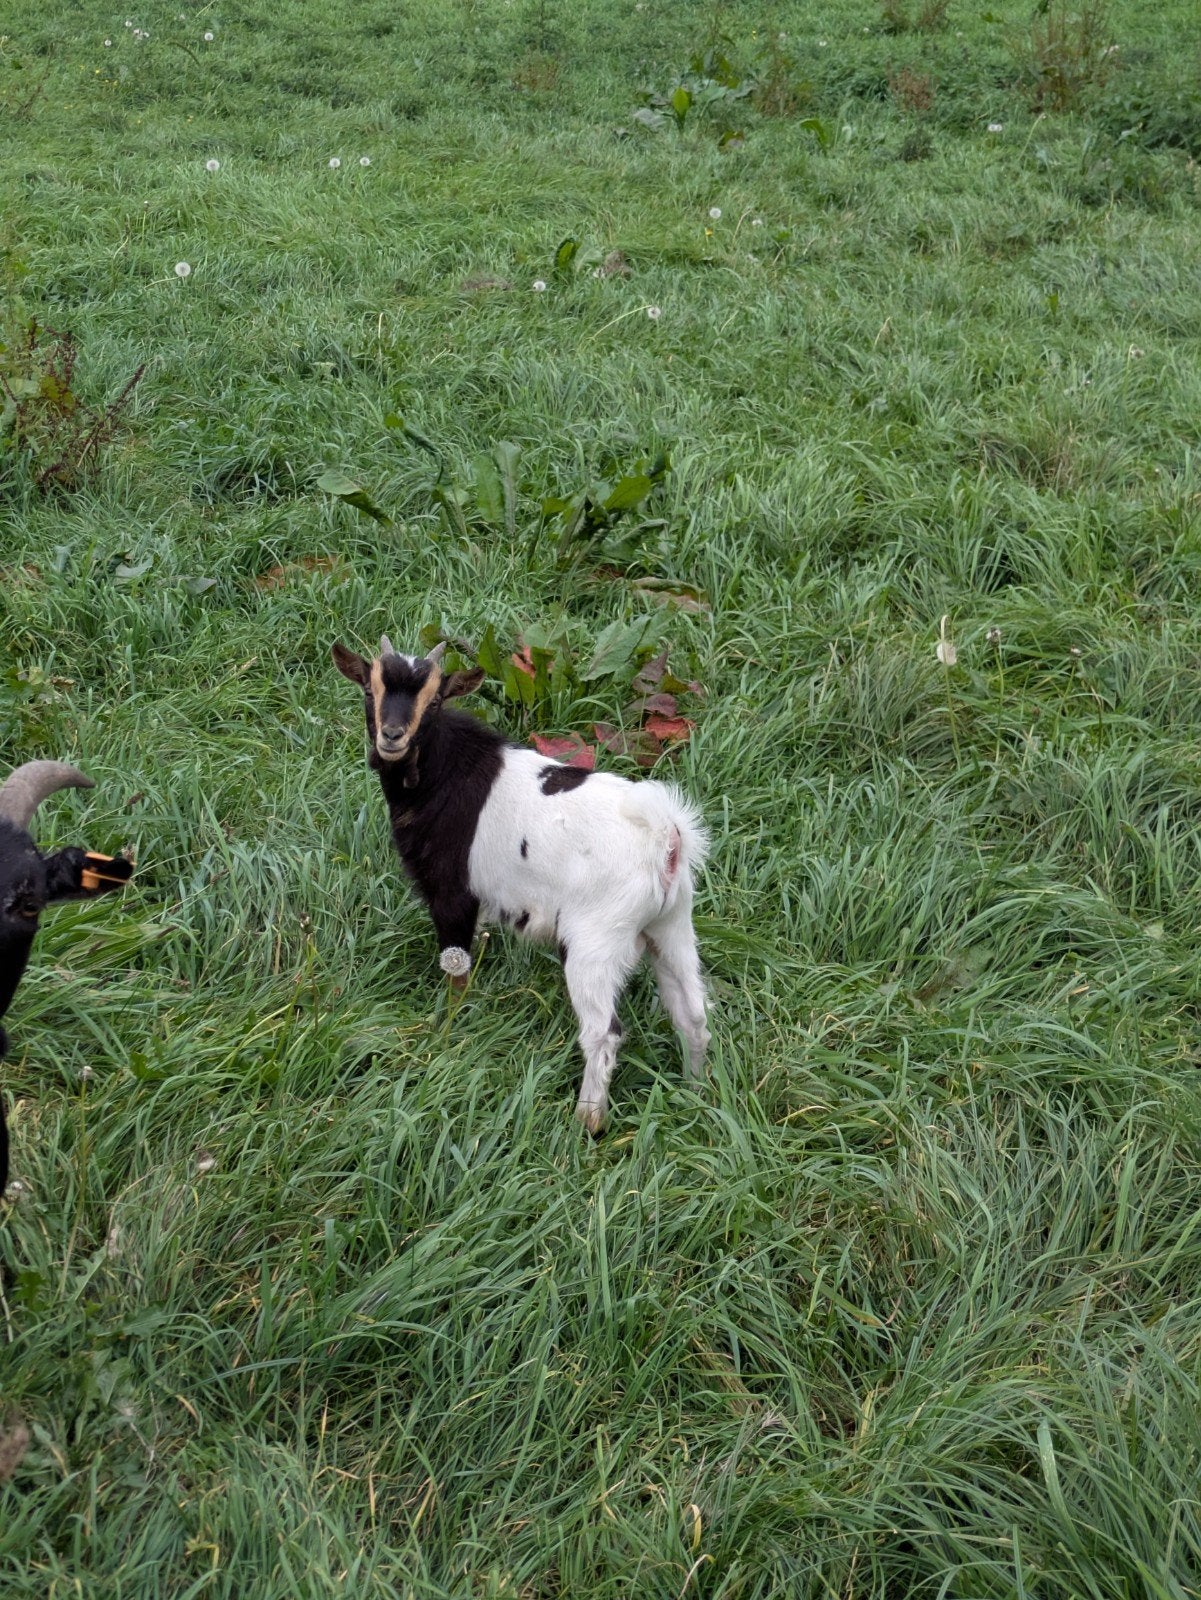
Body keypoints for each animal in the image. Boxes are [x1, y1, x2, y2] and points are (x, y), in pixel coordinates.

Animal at [334, 636, 710, 1132]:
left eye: (434, 700)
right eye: (369, 690)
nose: (392, 736)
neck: (442, 773)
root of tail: (665, 834)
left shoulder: (453, 894)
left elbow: (457, 973)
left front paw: (448, 1030)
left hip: (595, 942)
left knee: (604, 1033)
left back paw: (587, 1122)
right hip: (671, 924)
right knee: (693, 1012)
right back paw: (695, 1094)